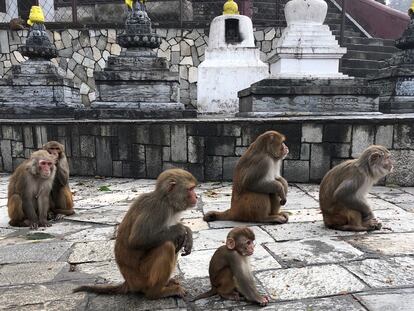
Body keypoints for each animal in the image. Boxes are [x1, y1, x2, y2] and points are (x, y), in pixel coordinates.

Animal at [74, 171, 197, 300]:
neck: (167, 201)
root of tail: (129, 282)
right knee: (167, 245)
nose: (196, 196)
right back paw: (156, 292)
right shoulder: (158, 209)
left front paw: (188, 232)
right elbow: (137, 240)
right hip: (142, 277)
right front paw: (181, 229)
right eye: (191, 189)